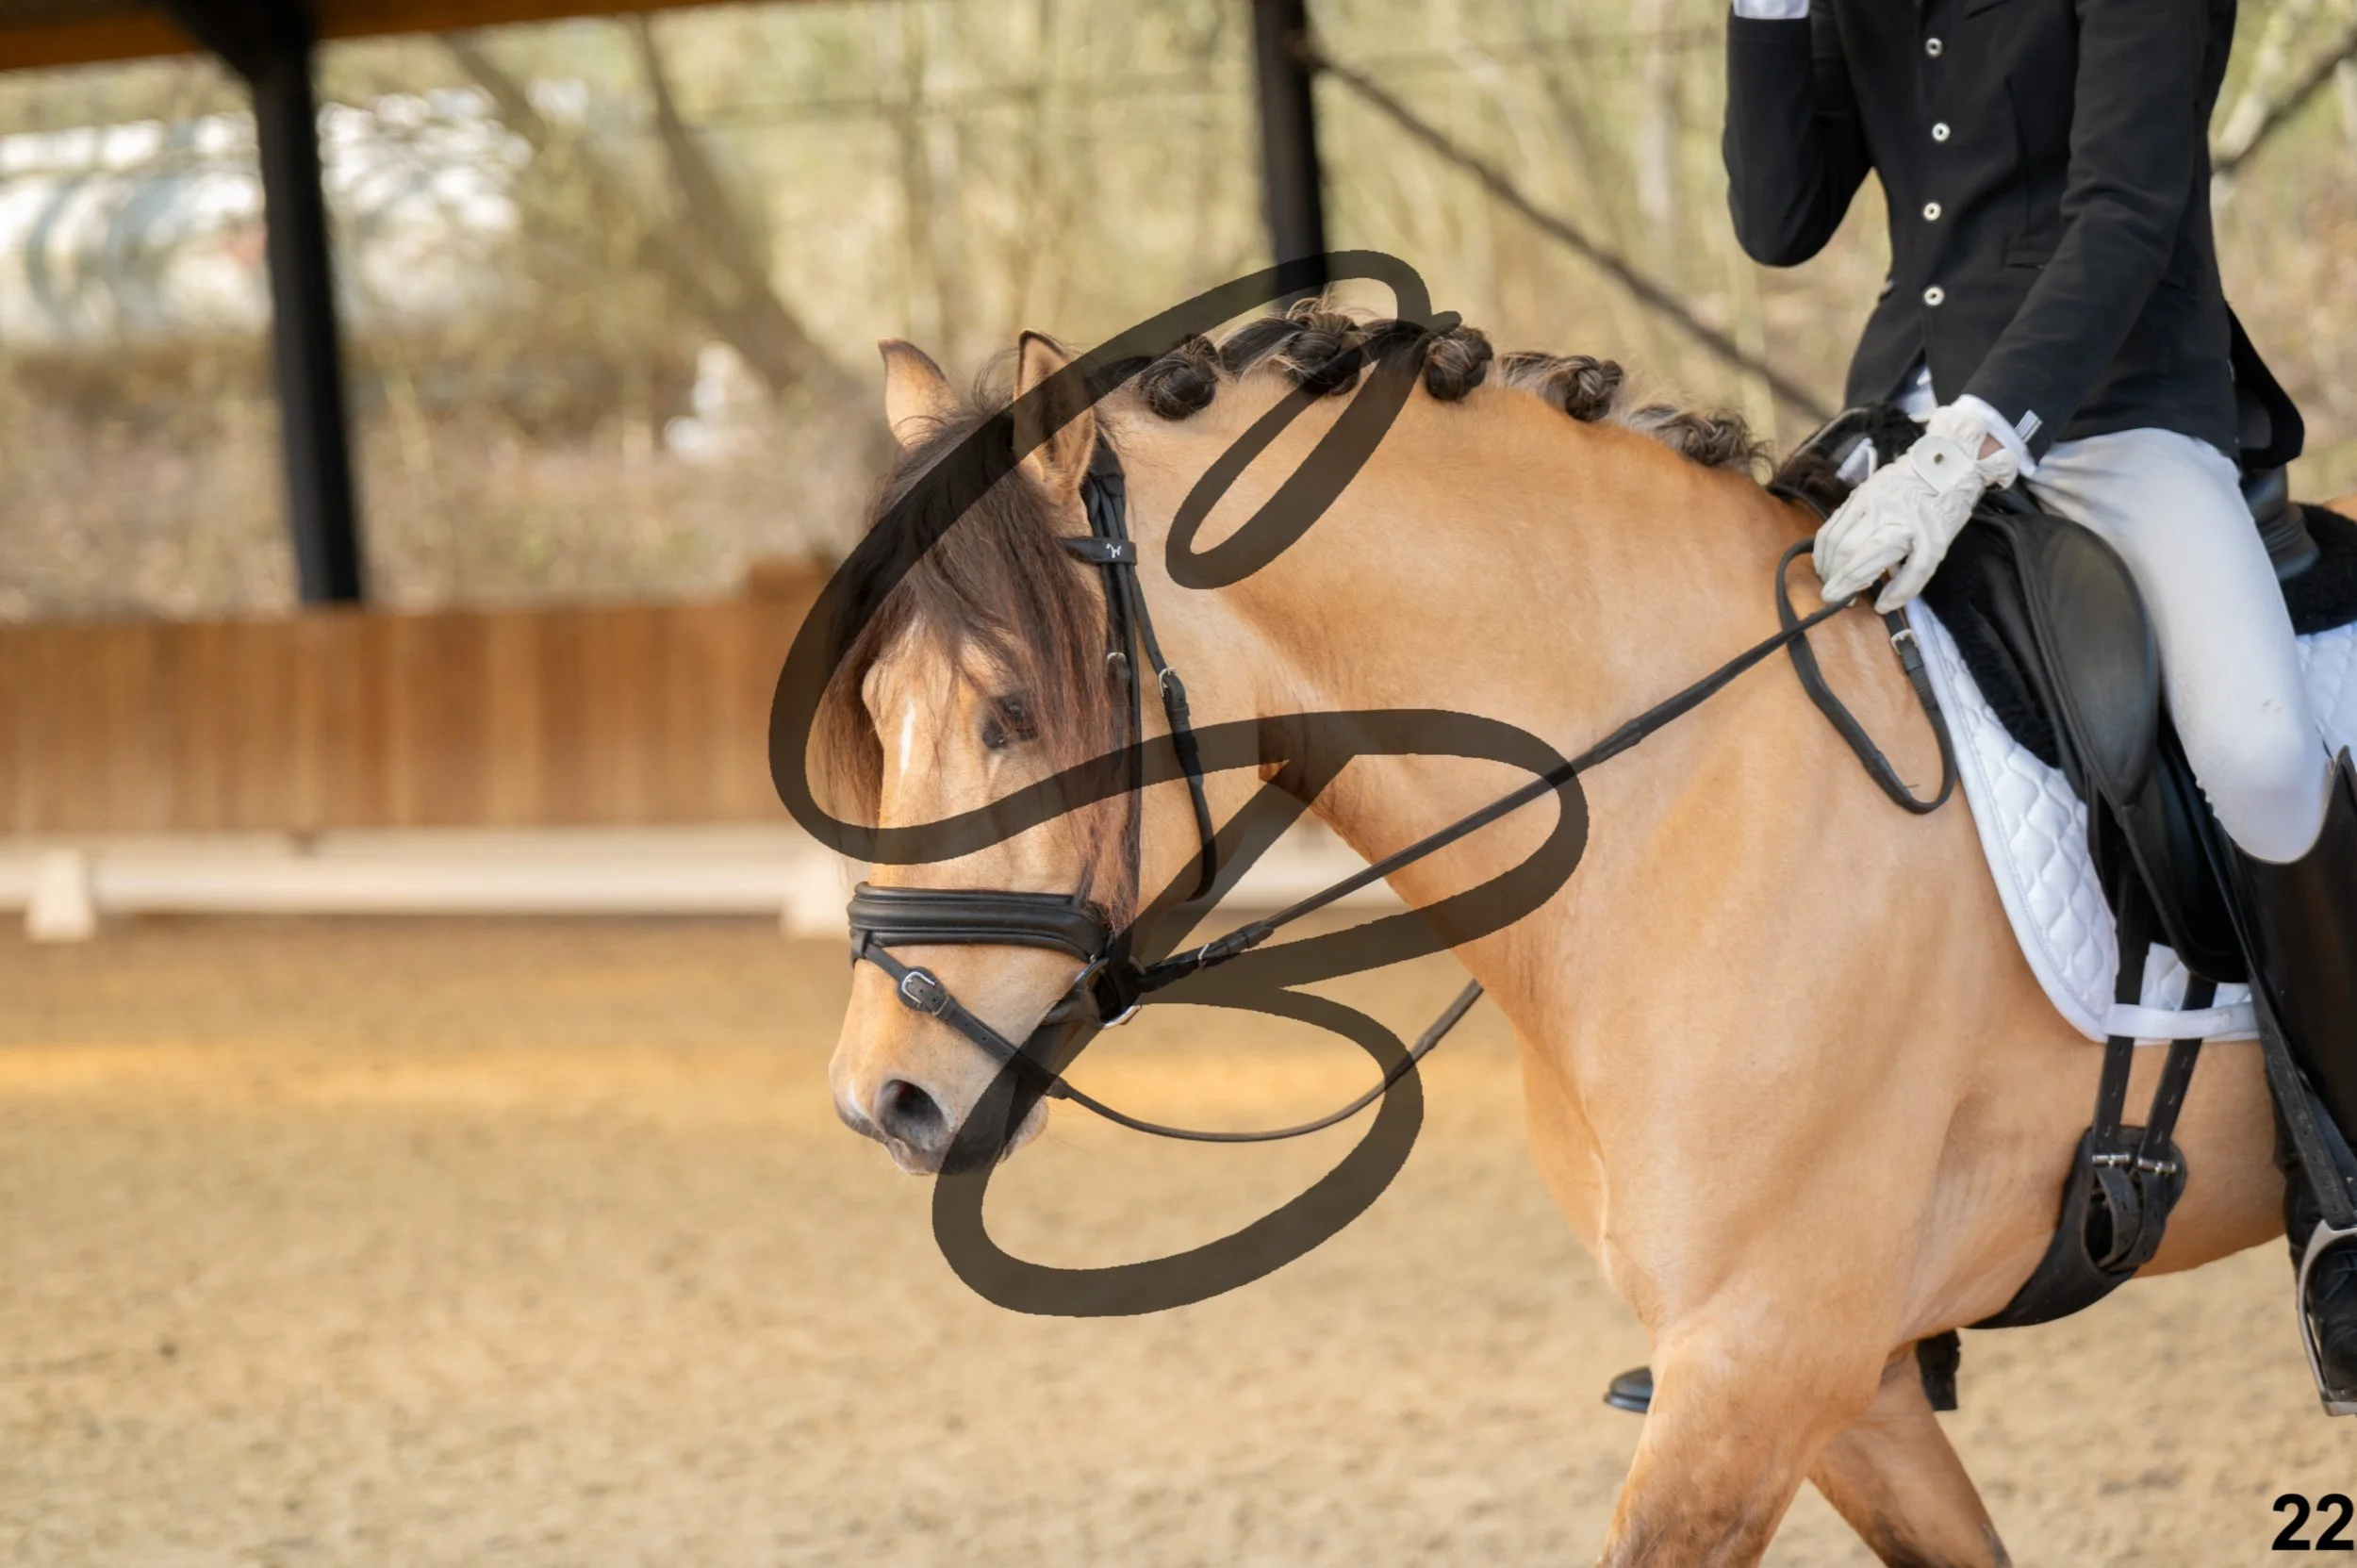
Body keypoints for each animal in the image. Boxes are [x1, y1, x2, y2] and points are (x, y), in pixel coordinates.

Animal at [811, 309, 2291, 1567]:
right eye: (881, 712)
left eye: (1011, 711)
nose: (882, 1096)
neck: (1685, 788)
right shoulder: (1844, 1381)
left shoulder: (1758, 1359)